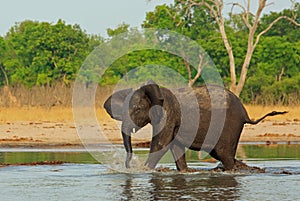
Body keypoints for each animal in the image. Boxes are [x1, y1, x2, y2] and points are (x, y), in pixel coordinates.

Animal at [104, 81, 288, 171]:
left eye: (137, 110)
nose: (128, 166)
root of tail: (246, 114)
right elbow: (176, 147)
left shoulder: (168, 113)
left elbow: (161, 143)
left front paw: (143, 170)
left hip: (230, 124)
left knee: (224, 154)